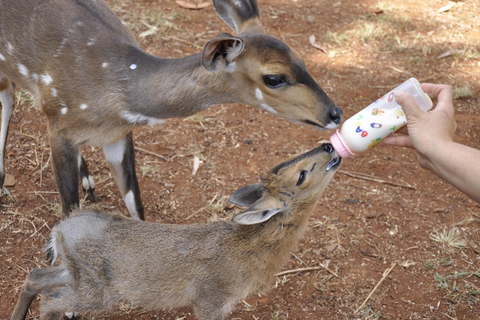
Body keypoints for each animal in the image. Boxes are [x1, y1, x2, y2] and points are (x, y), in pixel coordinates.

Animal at [0, 0, 342, 220]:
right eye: (274, 77)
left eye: (300, 58)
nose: (335, 113)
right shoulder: (58, 125)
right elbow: (69, 211)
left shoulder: (119, 134)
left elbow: (135, 205)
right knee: (7, 98)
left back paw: (88, 182)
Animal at [10, 142, 342, 320]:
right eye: (301, 175)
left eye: (284, 163)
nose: (328, 146)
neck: (249, 249)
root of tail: (60, 229)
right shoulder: (210, 299)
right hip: (95, 290)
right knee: (51, 300)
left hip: (73, 272)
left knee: (36, 278)